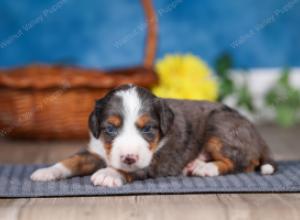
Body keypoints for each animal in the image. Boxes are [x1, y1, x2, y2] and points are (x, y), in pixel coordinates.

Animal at [31, 84, 276, 187]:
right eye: (110, 129)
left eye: (148, 129)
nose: (129, 157)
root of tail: (259, 136)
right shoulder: (96, 150)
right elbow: (71, 160)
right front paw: (46, 171)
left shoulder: (157, 159)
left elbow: (132, 169)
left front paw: (109, 174)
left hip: (221, 126)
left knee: (240, 162)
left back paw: (205, 168)